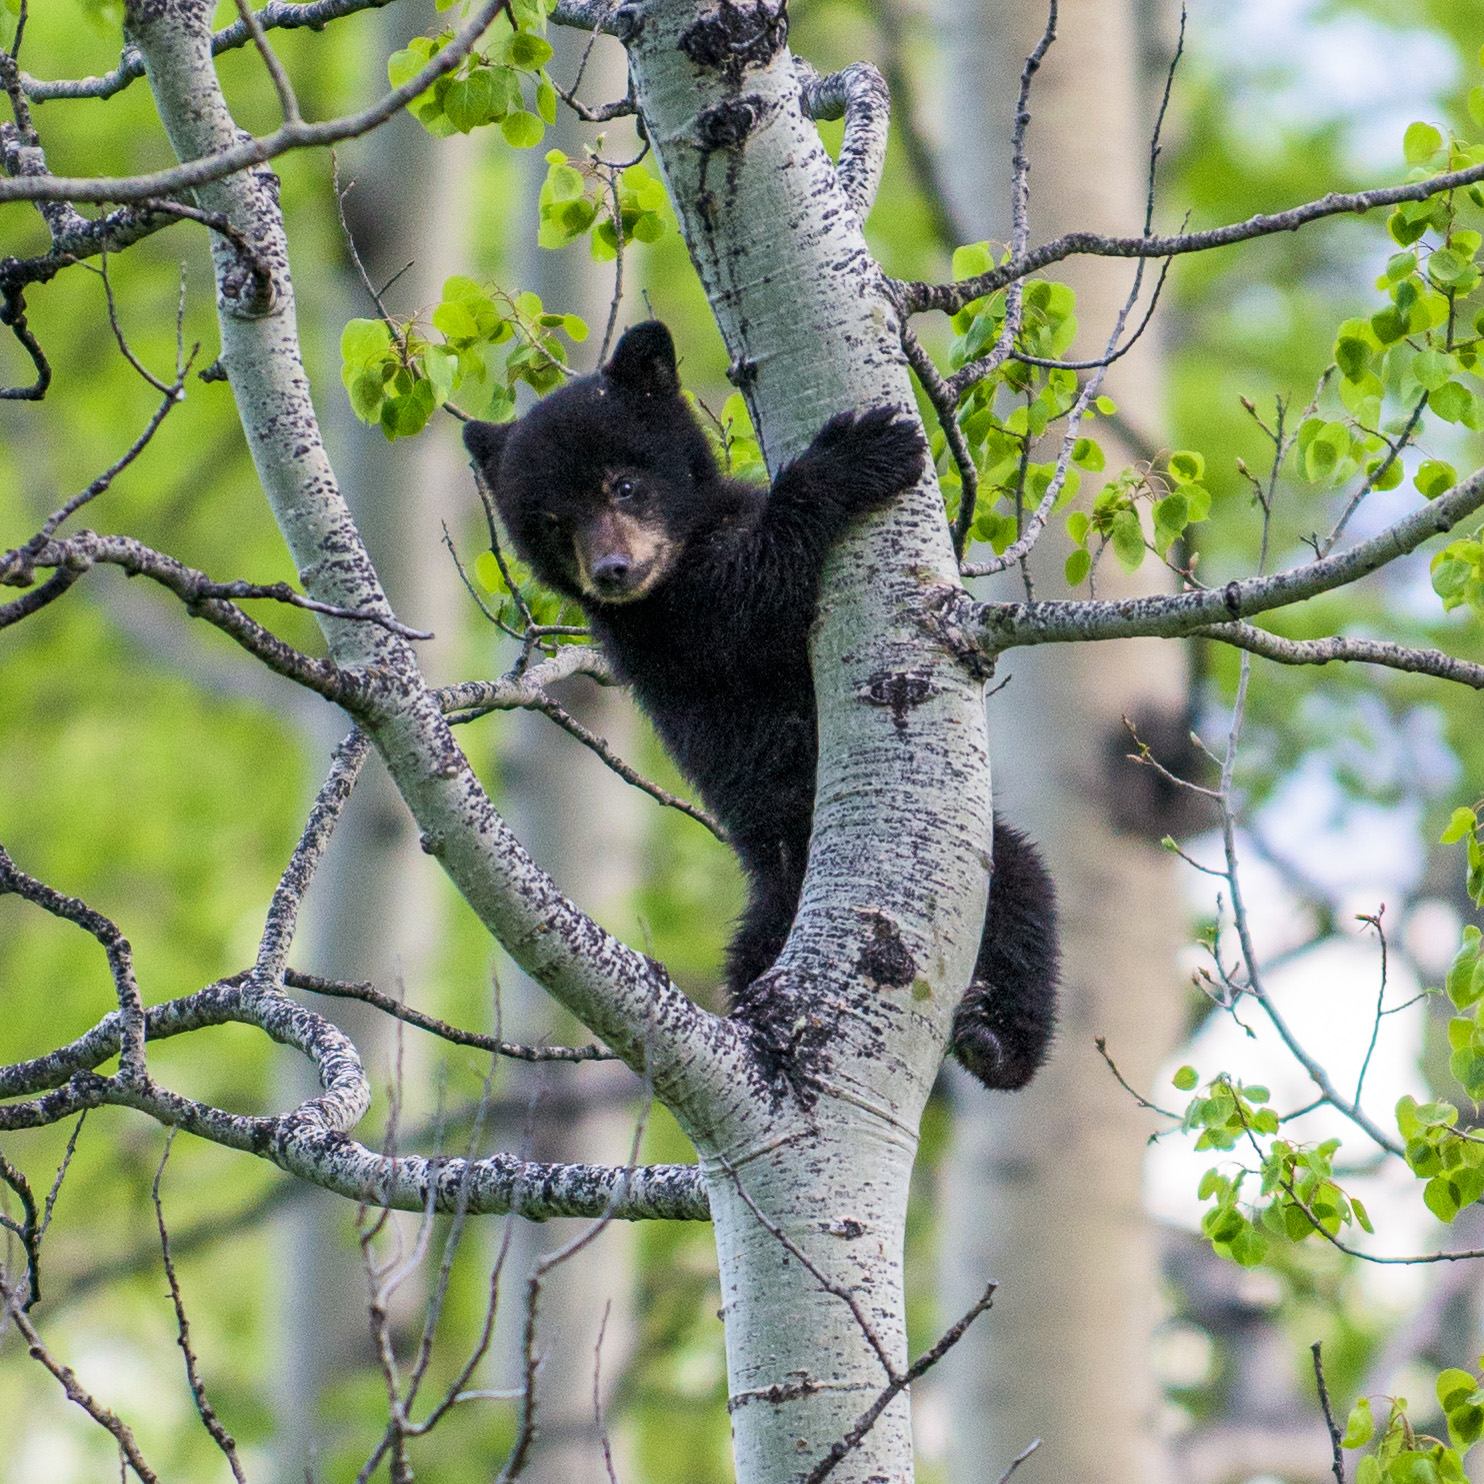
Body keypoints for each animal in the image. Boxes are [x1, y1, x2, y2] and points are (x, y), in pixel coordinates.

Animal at [463, 321, 1058, 1091]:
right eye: (553, 522)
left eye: (624, 484)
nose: (613, 571)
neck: (685, 550)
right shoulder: (668, 628)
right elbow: (752, 601)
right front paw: (854, 452)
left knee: (1026, 913)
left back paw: (995, 1039)